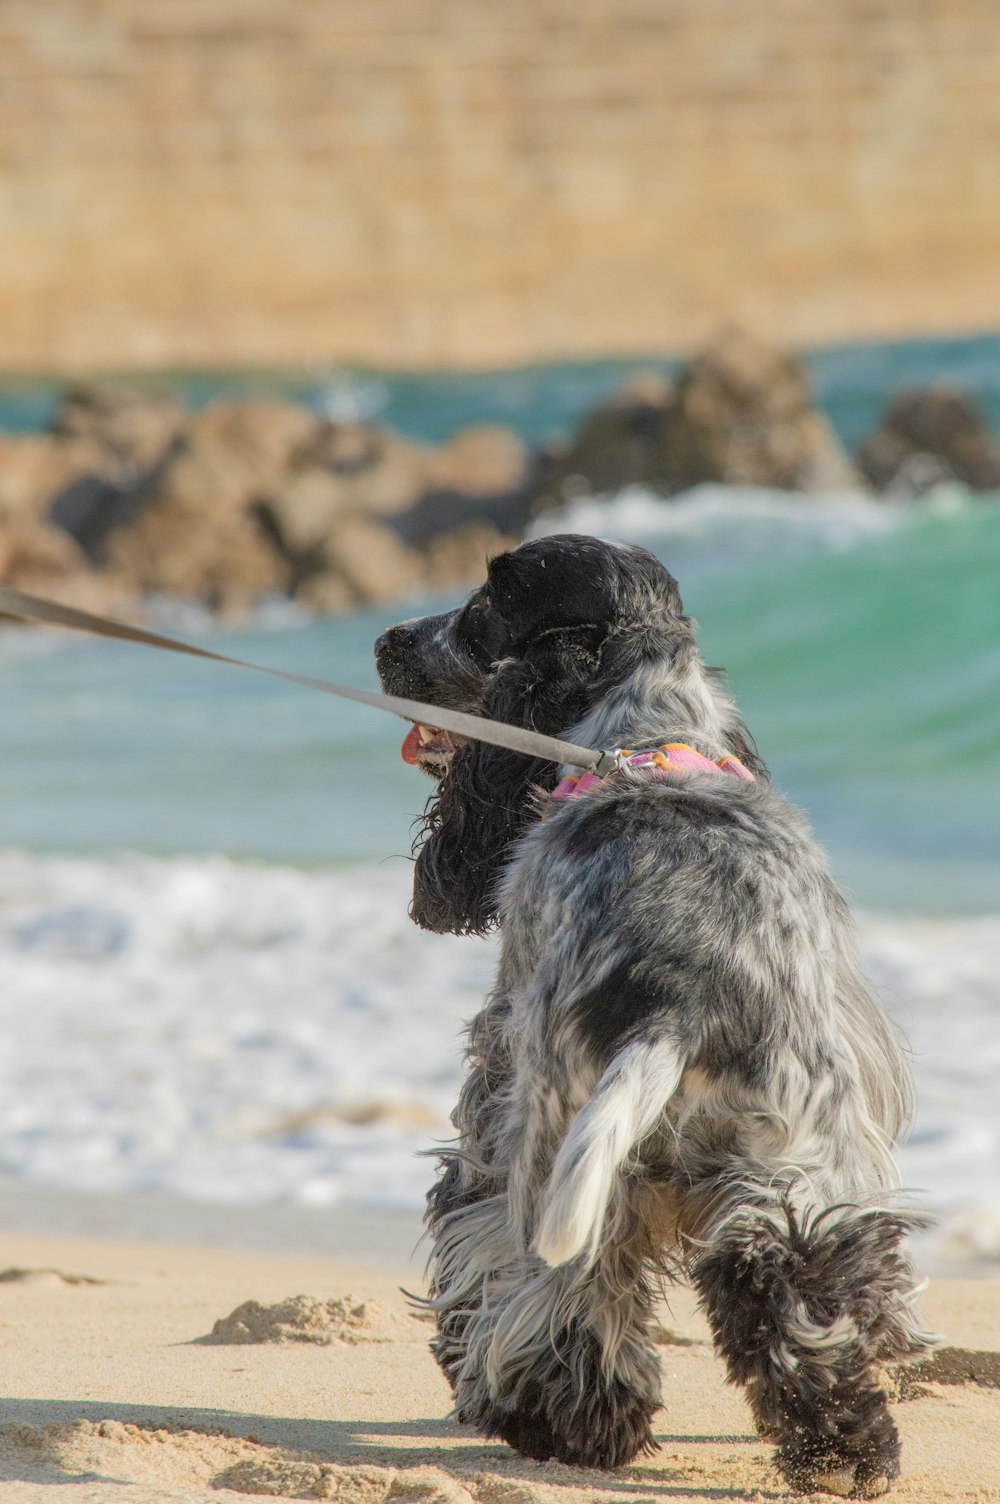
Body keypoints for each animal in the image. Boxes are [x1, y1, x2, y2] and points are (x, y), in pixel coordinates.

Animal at [372, 535, 926, 1497]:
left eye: (480, 607)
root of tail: (678, 998)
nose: (385, 639)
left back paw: (561, 1423)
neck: (642, 735)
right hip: (789, 1149)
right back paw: (845, 1448)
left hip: (548, 1145)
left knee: (556, 1286)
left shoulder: (492, 1084)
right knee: (787, 1273)